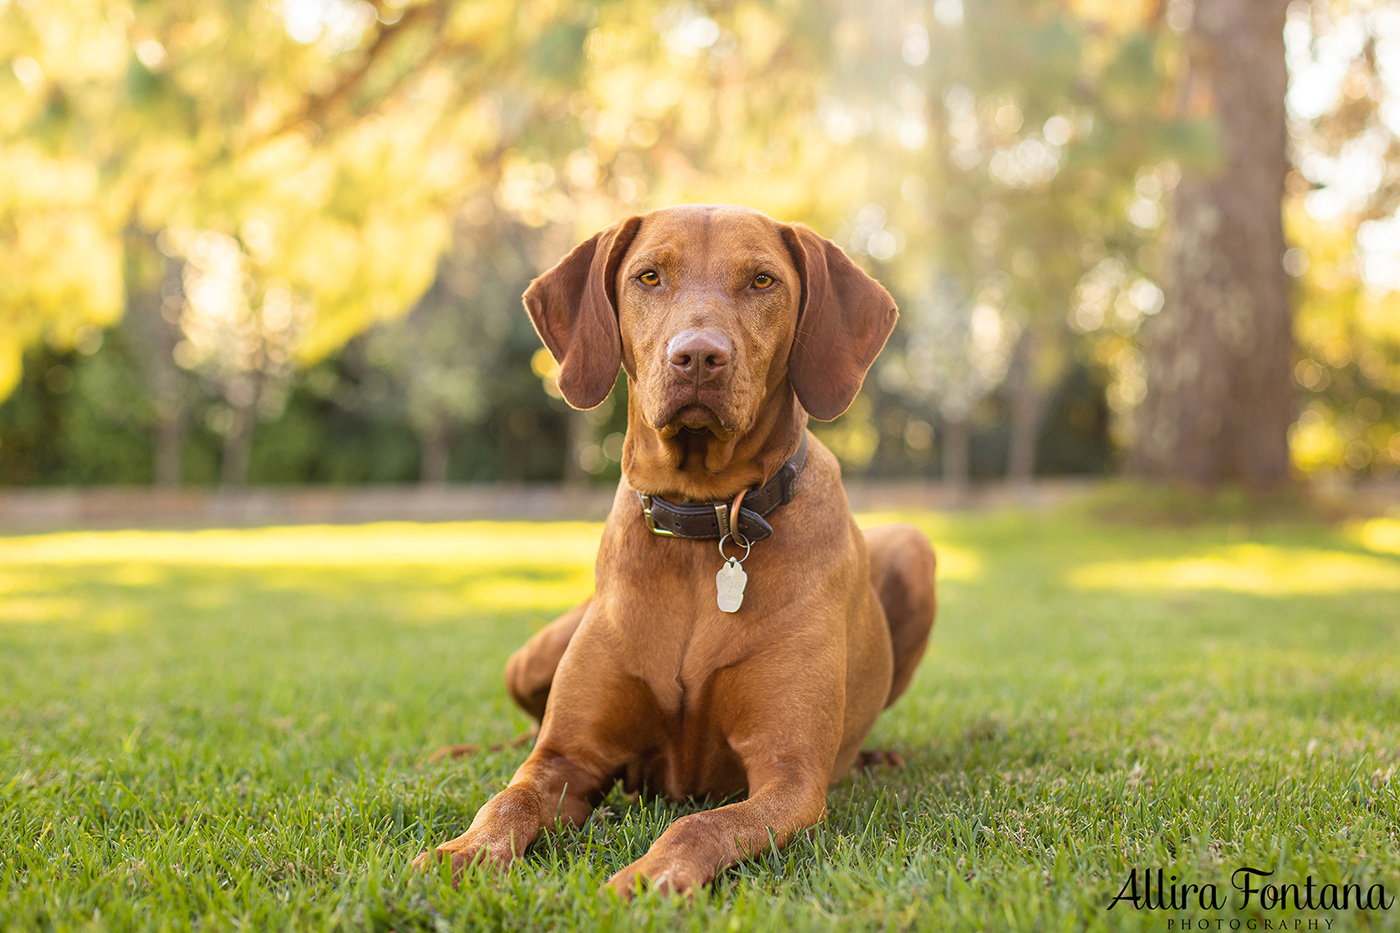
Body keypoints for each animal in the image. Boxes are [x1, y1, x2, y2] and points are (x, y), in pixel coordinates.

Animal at [408, 201, 935, 896]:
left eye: (763, 281)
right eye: (650, 276)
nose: (698, 357)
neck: (704, 524)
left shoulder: (789, 776)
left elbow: (698, 824)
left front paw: (648, 878)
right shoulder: (566, 757)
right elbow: (510, 797)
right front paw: (460, 853)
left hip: (913, 547)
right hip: (529, 660)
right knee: (521, 735)